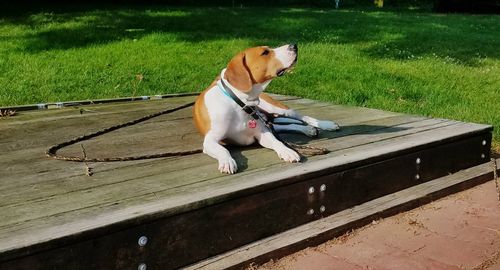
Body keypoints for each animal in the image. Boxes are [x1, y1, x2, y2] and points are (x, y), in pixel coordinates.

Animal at [193, 43, 338, 175]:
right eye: (265, 52)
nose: (294, 45)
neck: (240, 103)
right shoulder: (210, 140)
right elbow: (223, 150)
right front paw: (227, 161)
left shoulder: (262, 133)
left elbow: (277, 142)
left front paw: (287, 151)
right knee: (286, 126)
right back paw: (307, 129)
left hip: (278, 109)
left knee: (301, 117)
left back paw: (325, 124)